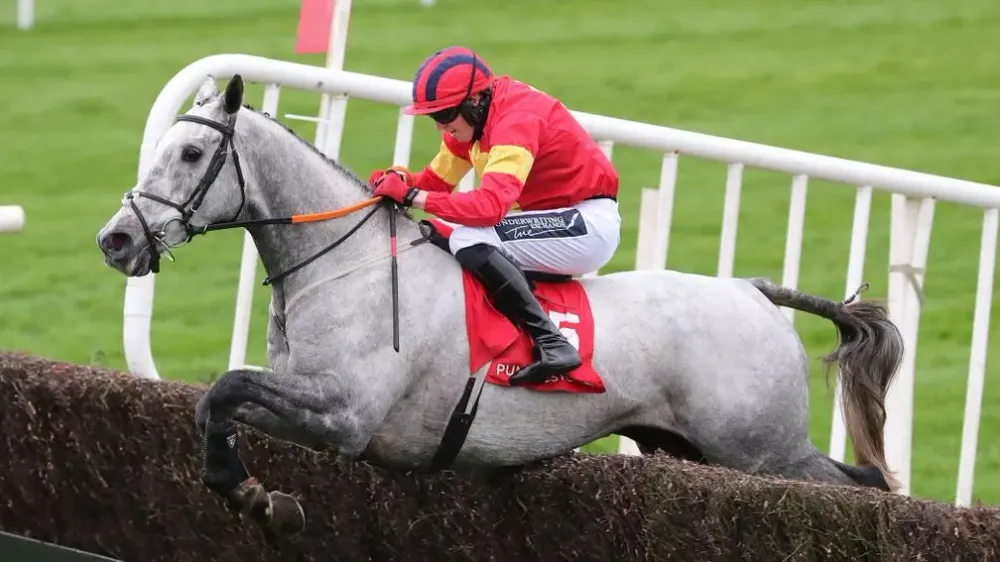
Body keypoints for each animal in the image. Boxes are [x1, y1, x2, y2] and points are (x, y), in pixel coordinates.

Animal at [96, 74, 905, 537]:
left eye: (191, 155)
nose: (115, 239)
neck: (345, 264)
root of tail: (752, 291)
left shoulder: (344, 414)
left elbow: (225, 389)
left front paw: (258, 497)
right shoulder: (314, 405)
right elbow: (217, 401)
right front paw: (255, 495)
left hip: (762, 450)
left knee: (863, 488)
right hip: (692, 450)